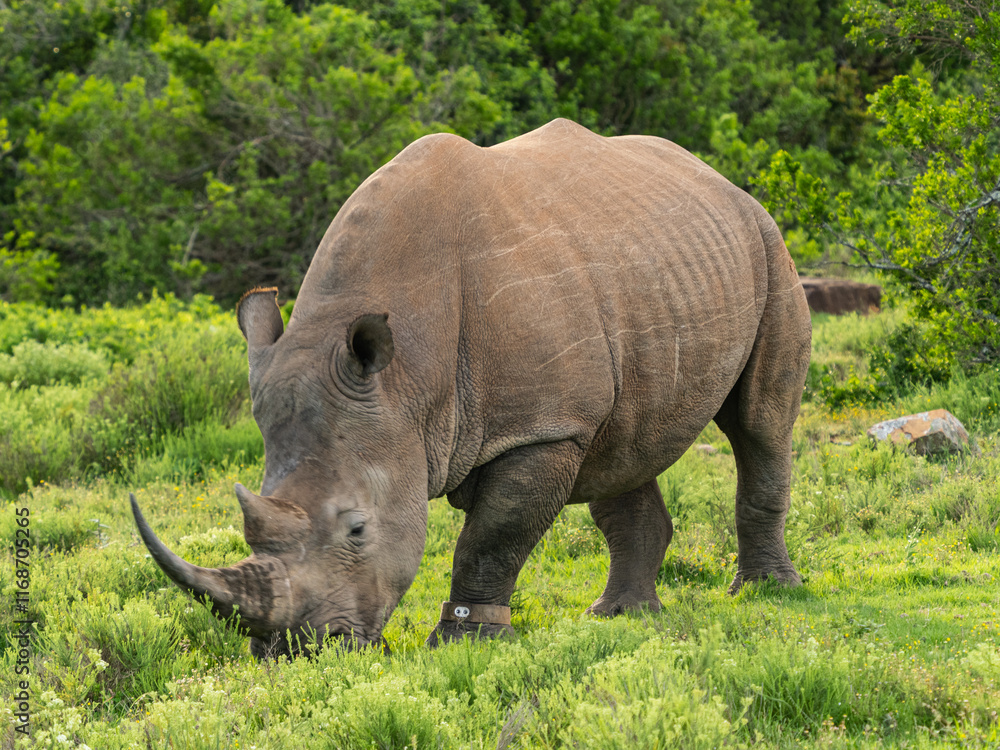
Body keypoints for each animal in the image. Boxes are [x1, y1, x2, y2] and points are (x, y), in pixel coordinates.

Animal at [131, 118, 811, 657]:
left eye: (357, 530)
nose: (294, 651)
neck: (407, 380)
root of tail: (717, 177)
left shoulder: (540, 429)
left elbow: (491, 537)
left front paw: (467, 640)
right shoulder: (525, 417)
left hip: (766, 242)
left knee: (760, 423)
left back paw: (766, 593)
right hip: (649, 274)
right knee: (621, 445)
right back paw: (619, 616)